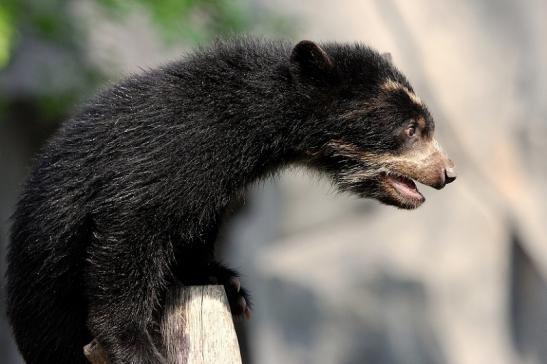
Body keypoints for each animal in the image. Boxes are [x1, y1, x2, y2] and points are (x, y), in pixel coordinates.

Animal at [6, 38, 456, 362]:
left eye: (427, 126)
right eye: (411, 128)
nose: (448, 173)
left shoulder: (210, 188)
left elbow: (193, 230)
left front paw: (226, 283)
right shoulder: (162, 158)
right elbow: (129, 230)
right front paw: (134, 347)